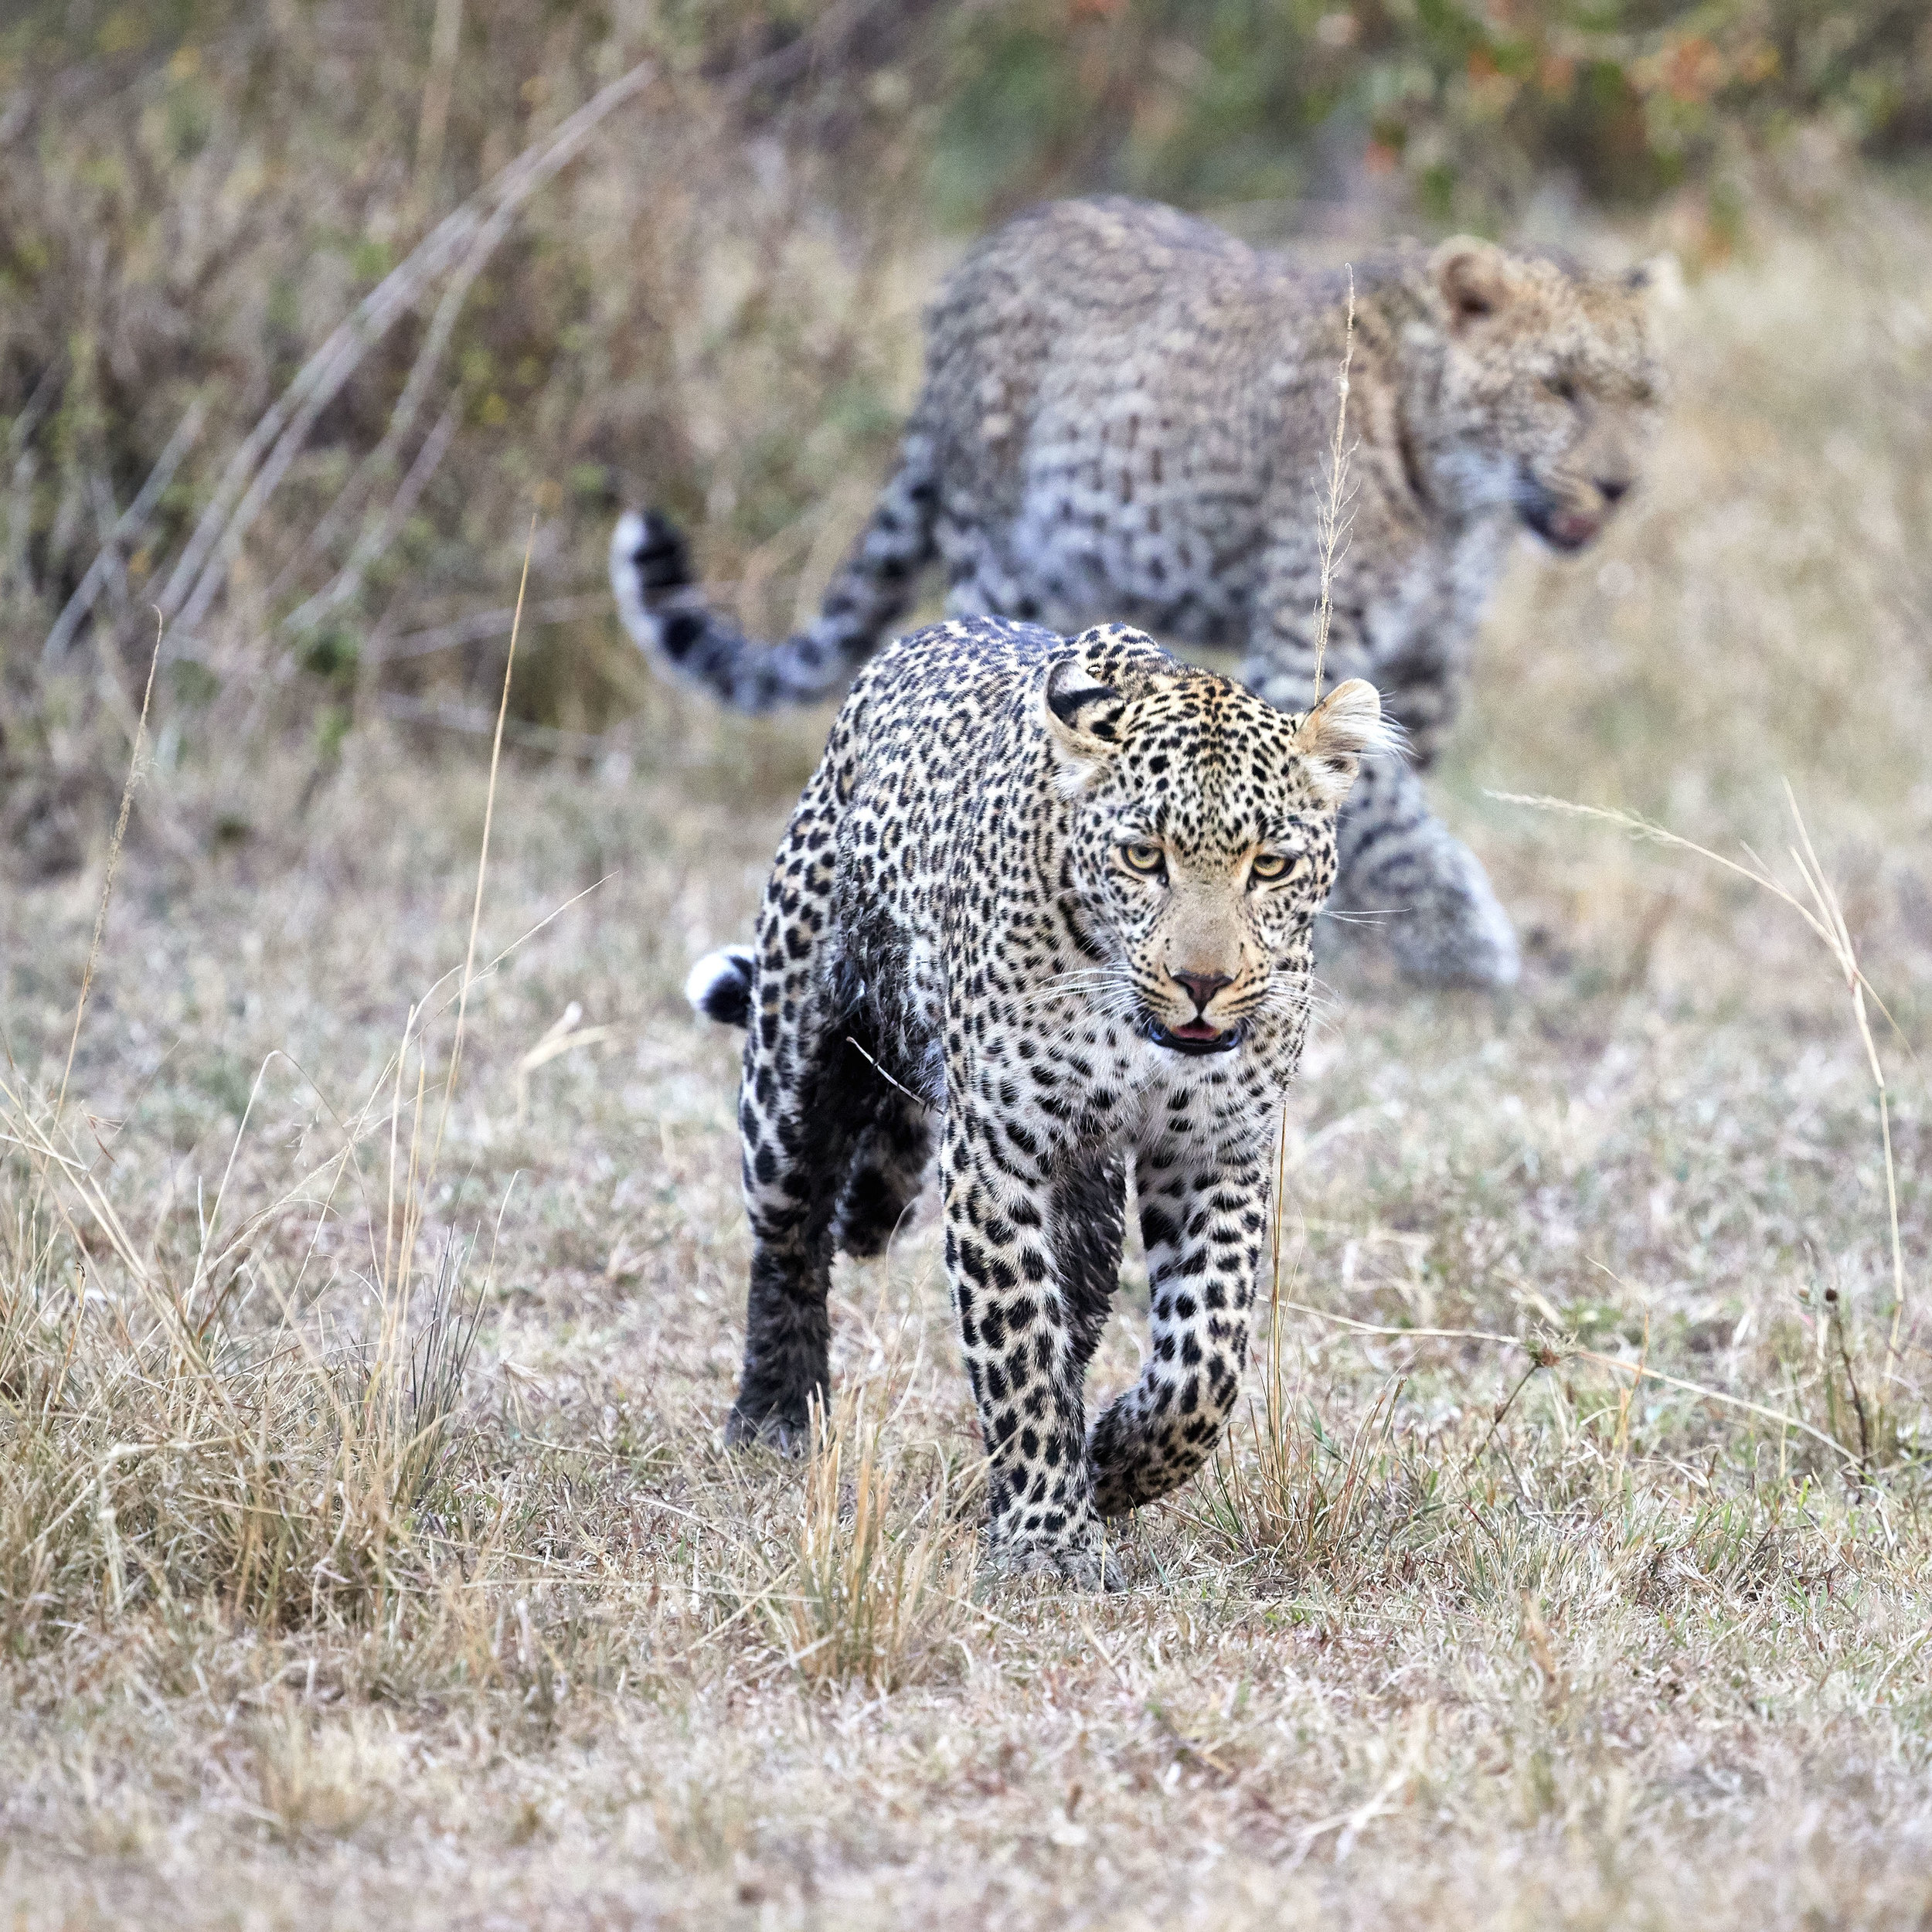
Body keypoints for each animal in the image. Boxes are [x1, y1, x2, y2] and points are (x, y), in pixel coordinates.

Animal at [614, 194, 1662, 989]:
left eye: (1643, 397)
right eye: (1559, 388)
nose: (1619, 487)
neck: (1458, 501)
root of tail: (974, 266)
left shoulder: (1430, 661)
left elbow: (1376, 804)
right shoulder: (1305, 642)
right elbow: (1386, 810)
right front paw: (1469, 946)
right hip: (1004, 559)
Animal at [688, 607, 1383, 1584]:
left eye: (1271, 866)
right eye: (1143, 856)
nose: (1203, 983)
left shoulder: (1218, 1150)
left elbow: (1203, 1362)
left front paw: (1114, 1458)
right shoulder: (998, 1154)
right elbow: (1017, 1342)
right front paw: (1047, 1536)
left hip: (1084, 1194)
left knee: (1080, 1309)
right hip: (791, 1065)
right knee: (788, 1237)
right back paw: (776, 1417)